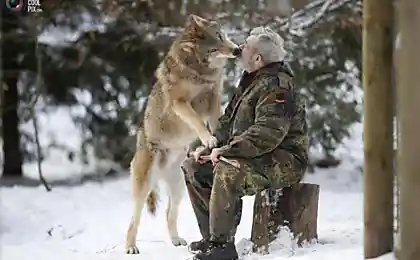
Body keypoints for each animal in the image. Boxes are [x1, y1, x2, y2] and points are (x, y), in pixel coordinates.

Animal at [124, 13, 240, 254]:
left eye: (221, 36)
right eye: (213, 49)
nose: (236, 50)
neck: (199, 73)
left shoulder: (213, 98)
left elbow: (216, 120)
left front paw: (217, 138)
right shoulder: (181, 103)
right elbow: (197, 122)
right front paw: (208, 139)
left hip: (178, 188)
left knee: (169, 213)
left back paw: (177, 241)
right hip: (144, 187)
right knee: (134, 218)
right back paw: (130, 247)